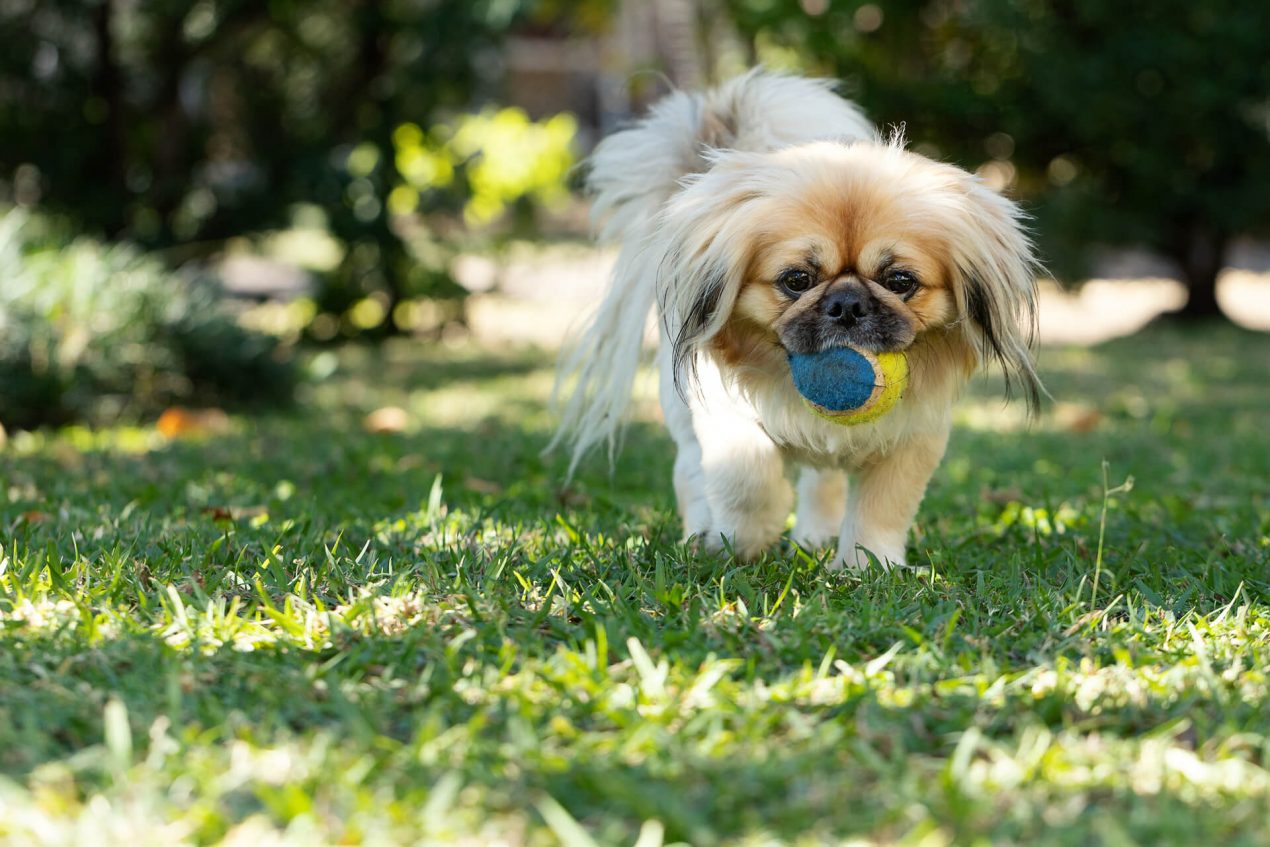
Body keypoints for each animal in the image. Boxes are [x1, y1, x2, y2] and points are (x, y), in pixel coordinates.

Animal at [551, 67, 1036, 568]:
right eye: (797, 280)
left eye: (900, 281)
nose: (847, 304)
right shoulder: (727, 416)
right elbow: (748, 478)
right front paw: (744, 541)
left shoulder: (911, 441)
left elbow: (879, 511)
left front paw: (866, 566)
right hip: (684, 423)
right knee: (692, 475)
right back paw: (701, 534)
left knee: (823, 483)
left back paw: (816, 537)